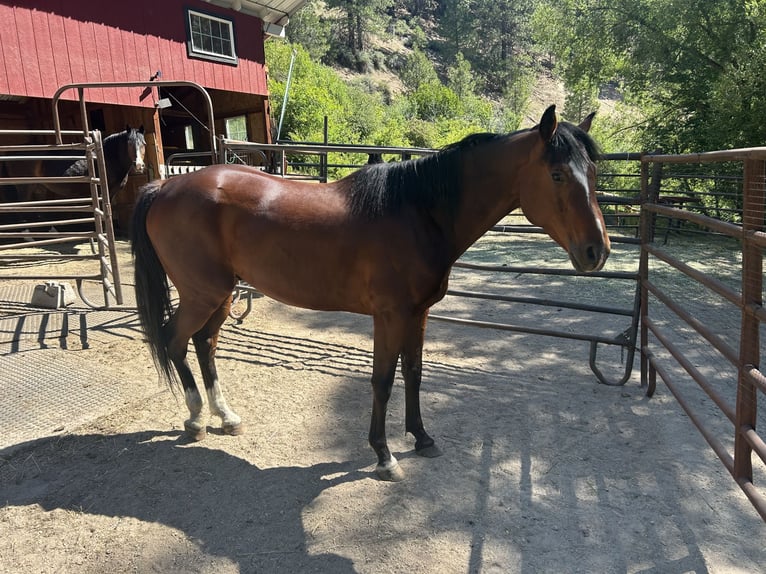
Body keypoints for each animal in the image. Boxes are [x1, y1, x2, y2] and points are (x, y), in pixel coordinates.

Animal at [131, 105, 610, 481]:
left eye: (593, 172)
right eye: (557, 174)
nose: (597, 251)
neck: (420, 212)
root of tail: (165, 187)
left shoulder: (418, 314)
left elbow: (414, 373)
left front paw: (422, 437)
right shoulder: (390, 316)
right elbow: (382, 381)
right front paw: (383, 455)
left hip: (221, 294)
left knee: (203, 344)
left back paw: (225, 417)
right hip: (202, 293)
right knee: (176, 341)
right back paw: (195, 419)